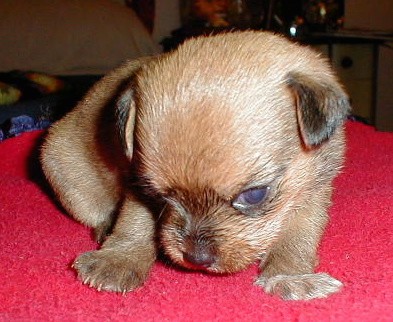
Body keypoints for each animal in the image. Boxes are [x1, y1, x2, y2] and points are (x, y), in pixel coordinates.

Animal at [41, 31, 350, 300]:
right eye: (157, 195)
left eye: (254, 195)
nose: (196, 258)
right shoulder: (136, 187)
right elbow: (135, 223)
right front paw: (118, 260)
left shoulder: (312, 192)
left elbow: (298, 237)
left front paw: (290, 277)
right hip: (66, 176)